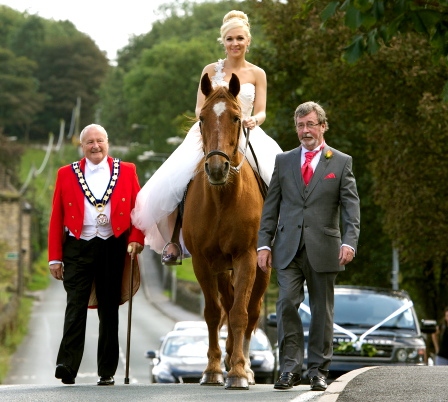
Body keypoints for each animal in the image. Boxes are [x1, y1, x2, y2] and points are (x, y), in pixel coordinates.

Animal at [182, 73, 270, 390]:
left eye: (236, 118)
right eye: (201, 119)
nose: (217, 168)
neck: (222, 198)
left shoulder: (247, 258)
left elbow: (241, 314)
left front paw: (239, 373)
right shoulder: (202, 262)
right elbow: (213, 314)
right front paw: (213, 370)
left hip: (262, 268)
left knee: (252, 311)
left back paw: (245, 366)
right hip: (222, 269)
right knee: (227, 304)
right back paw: (231, 358)